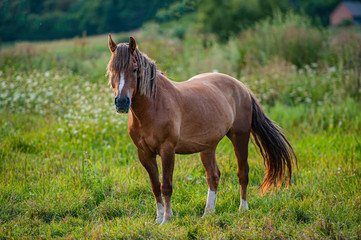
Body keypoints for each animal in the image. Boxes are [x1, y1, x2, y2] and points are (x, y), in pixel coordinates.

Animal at [106, 35, 296, 225]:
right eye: (111, 70)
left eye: (134, 69)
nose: (121, 102)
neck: (153, 106)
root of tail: (242, 87)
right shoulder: (145, 154)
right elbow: (155, 186)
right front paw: (158, 219)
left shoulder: (167, 150)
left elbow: (166, 186)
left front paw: (167, 219)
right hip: (207, 147)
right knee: (213, 175)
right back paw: (208, 213)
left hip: (240, 137)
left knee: (242, 172)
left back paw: (243, 209)